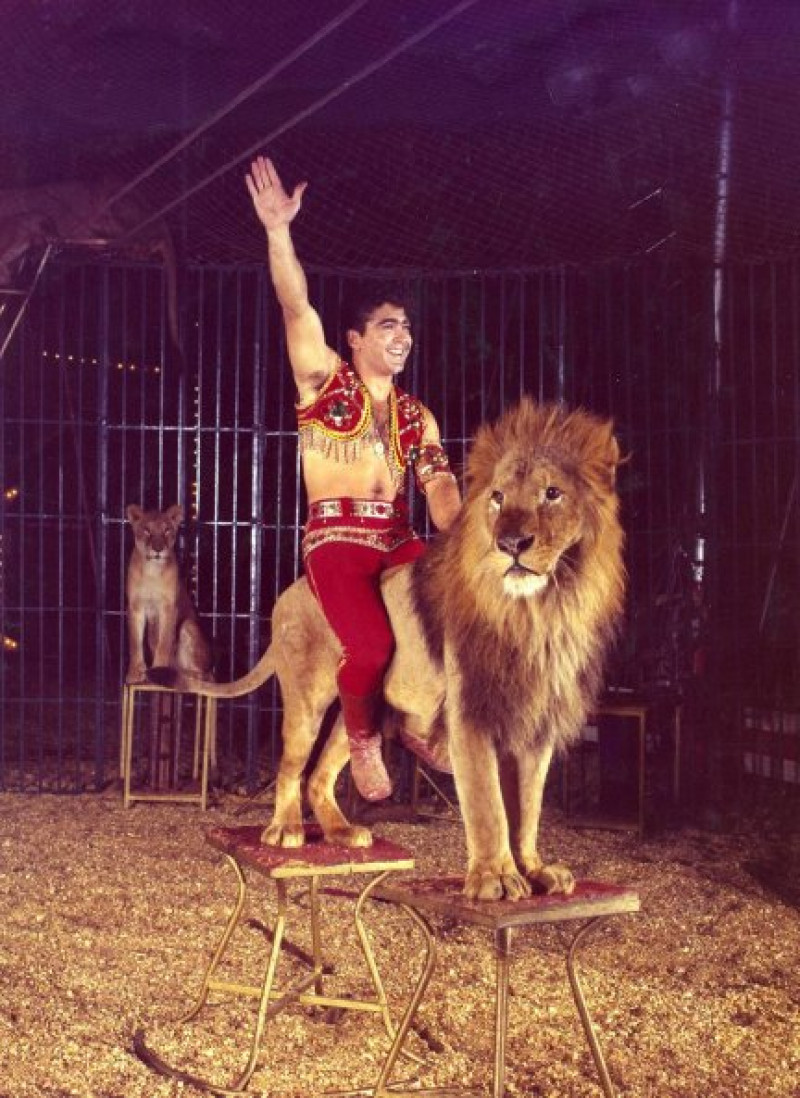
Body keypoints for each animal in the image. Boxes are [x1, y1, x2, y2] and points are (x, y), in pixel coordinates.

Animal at [163, 401, 623, 900]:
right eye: (498, 498)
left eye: (552, 494)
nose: (511, 545)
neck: (540, 610)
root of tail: (291, 592)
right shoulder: (470, 713)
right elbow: (489, 805)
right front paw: (495, 877)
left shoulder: (537, 722)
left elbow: (529, 809)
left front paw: (534, 870)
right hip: (307, 698)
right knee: (292, 765)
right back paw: (285, 829)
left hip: (362, 708)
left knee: (321, 773)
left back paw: (341, 831)